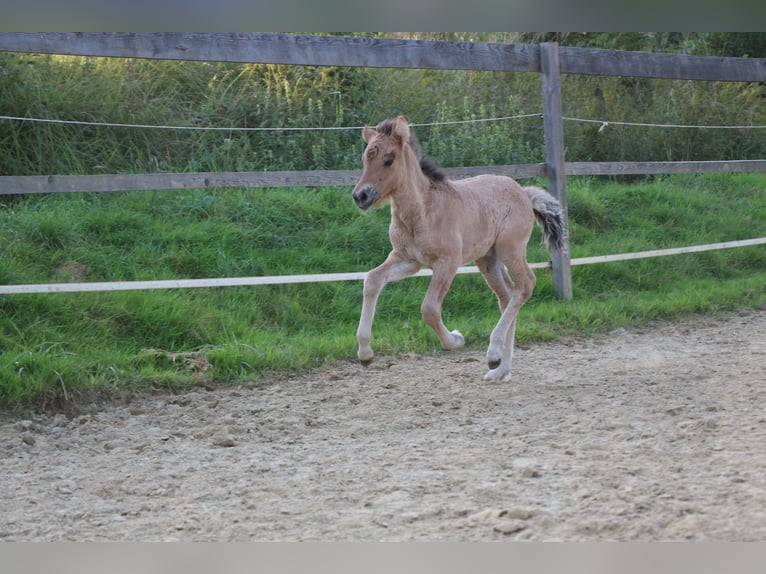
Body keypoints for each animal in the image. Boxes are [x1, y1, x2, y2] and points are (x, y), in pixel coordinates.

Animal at [351, 116, 566, 382]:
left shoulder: (448, 262)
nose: (360, 196)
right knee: (507, 296)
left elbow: (429, 309)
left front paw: (456, 339)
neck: (423, 211)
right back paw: (499, 369)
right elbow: (372, 280)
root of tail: (525, 194)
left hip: (511, 249)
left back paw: (493, 352)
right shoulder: (408, 260)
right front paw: (365, 353)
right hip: (488, 260)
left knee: (526, 285)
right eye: (365, 159)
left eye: (389, 160)